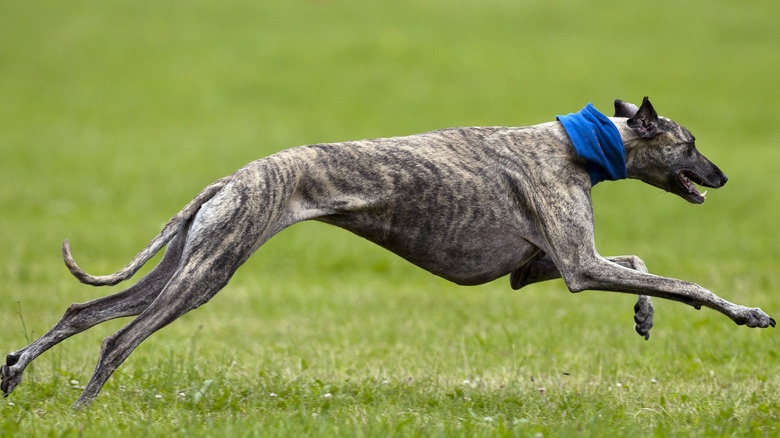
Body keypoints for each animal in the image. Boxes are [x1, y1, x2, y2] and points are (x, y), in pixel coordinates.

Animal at [1, 97, 772, 408]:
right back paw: (83, 409)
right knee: (118, 338)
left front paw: (643, 316)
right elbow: (685, 283)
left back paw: (14, 375)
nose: (724, 178)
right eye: (691, 142)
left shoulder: (540, 269)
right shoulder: (579, 268)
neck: (579, 145)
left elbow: (642, 266)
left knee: (81, 312)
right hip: (208, 274)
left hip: (188, 261)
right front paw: (748, 314)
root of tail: (231, 179)